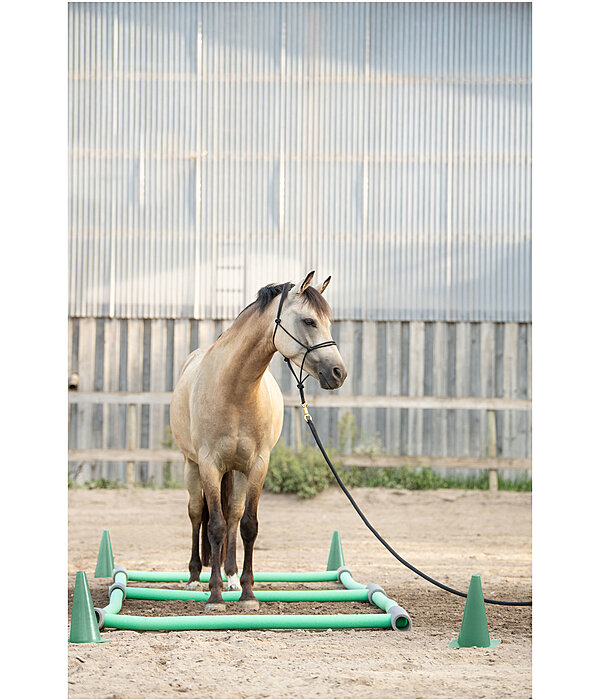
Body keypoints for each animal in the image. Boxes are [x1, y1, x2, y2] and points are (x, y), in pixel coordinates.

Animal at [169, 270, 346, 608]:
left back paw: (231, 576)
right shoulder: (209, 464)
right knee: (197, 513)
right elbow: (214, 526)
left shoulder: (258, 465)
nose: (338, 372)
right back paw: (195, 578)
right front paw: (214, 596)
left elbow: (248, 525)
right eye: (309, 321)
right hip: (191, 466)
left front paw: (248, 593)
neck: (235, 390)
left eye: (328, 322)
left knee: (233, 516)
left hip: (236, 472)